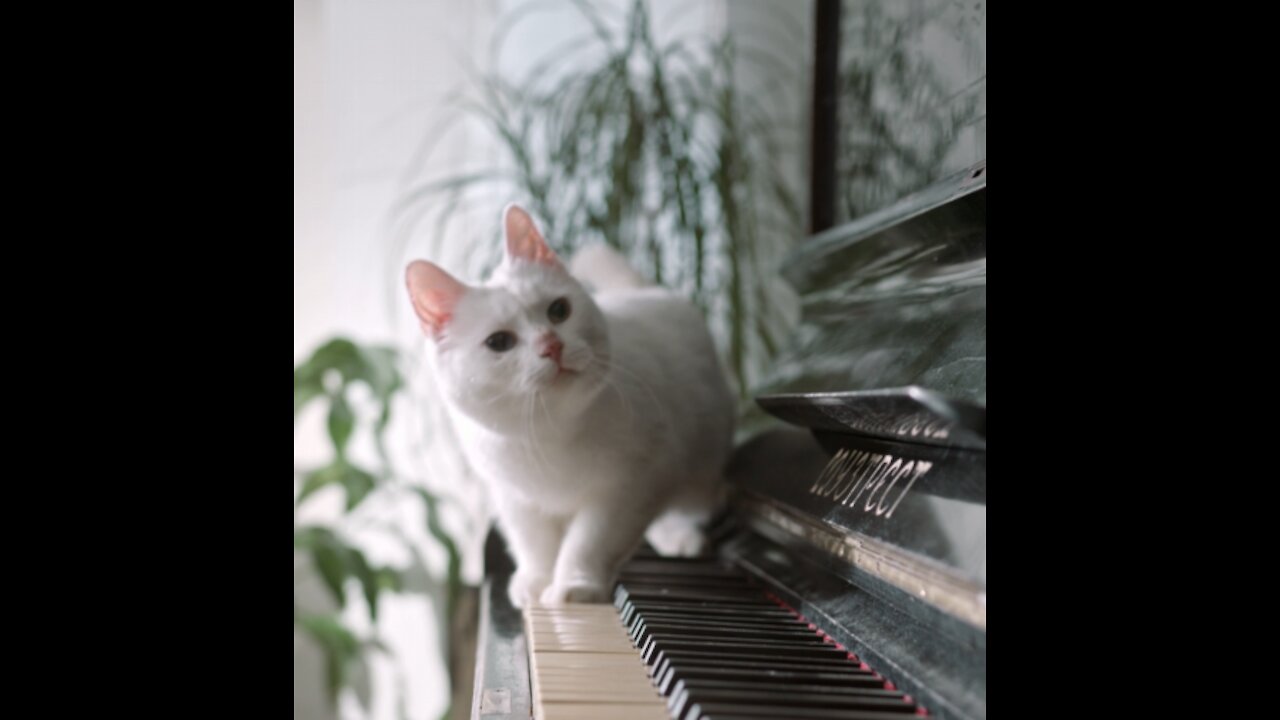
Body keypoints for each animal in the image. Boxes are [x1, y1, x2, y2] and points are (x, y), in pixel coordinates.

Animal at [404, 203, 737, 604]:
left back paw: (683, 536)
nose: (552, 345)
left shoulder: (628, 486)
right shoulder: (514, 498)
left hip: (698, 465)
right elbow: (534, 544)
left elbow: (589, 542)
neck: (550, 434)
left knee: (694, 501)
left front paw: (575, 586)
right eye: (499, 342)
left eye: (559, 310)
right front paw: (535, 582)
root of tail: (648, 290)